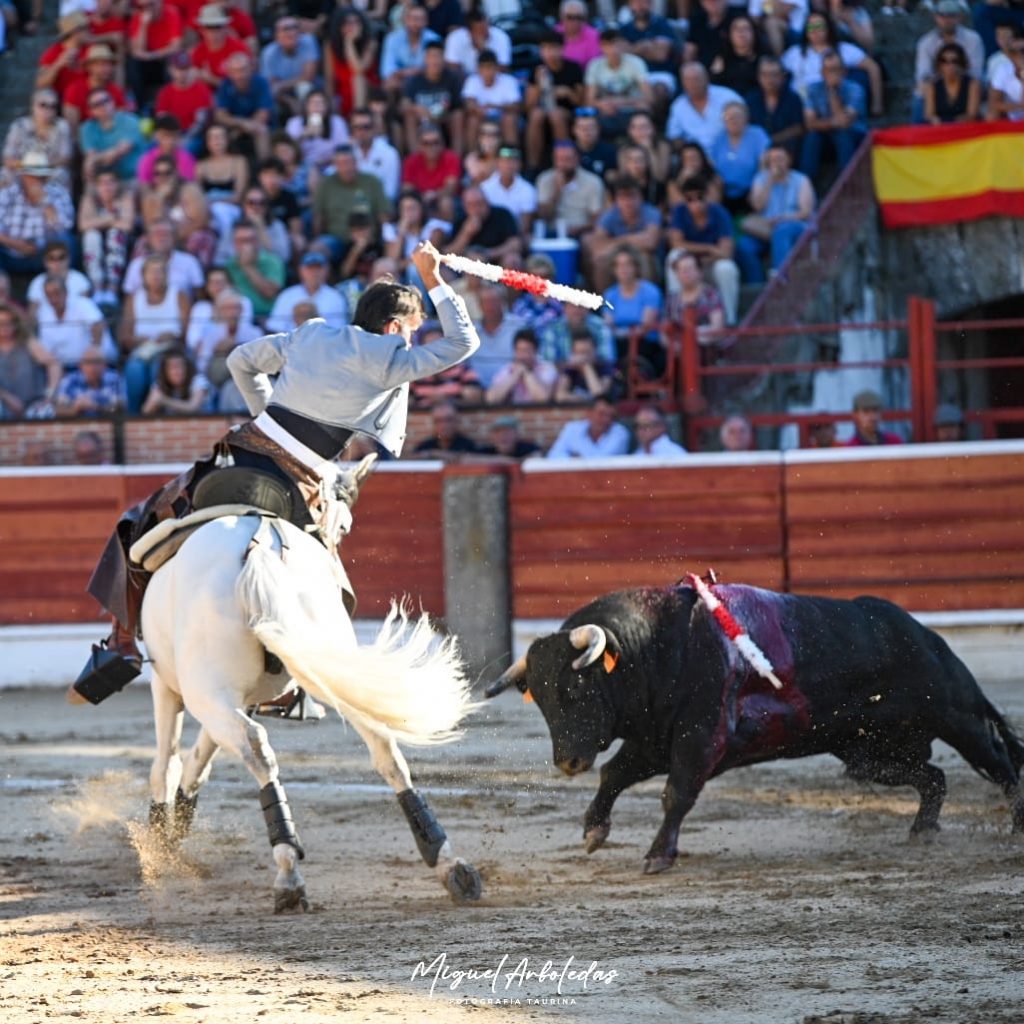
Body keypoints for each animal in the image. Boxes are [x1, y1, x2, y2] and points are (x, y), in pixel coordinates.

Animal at [136, 460, 483, 909]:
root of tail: (261, 545)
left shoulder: (170, 685)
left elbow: (169, 762)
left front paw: (161, 843)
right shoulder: (233, 695)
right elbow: (198, 760)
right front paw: (176, 825)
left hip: (205, 688)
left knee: (255, 748)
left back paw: (288, 873)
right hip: (328, 667)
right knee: (384, 746)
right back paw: (448, 863)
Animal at [487, 585, 1024, 872]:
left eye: (576, 689)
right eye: (541, 703)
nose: (568, 762)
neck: (657, 648)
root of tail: (923, 634)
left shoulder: (699, 738)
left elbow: (675, 794)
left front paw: (659, 856)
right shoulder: (656, 740)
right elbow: (615, 774)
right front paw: (595, 829)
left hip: (957, 717)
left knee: (1001, 765)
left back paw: (1017, 826)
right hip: (866, 753)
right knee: (934, 777)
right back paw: (922, 830)